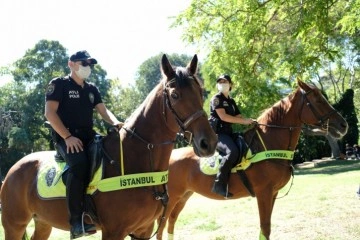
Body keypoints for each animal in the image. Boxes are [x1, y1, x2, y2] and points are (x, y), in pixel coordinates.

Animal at [0, 54, 217, 240]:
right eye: (175, 95)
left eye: (200, 92)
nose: (208, 143)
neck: (135, 159)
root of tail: (13, 170)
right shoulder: (114, 231)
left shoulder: (144, 229)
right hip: (14, 225)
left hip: (43, 223)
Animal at [156, 79, 348, 239]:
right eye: (318, 100)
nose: (343, 125)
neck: (267, 144)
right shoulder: (264, 193)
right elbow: (265, 228)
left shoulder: (273, 193)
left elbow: (266, 228)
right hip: (171, 199)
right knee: (161, 227)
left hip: (183, 196)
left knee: (171, 222)